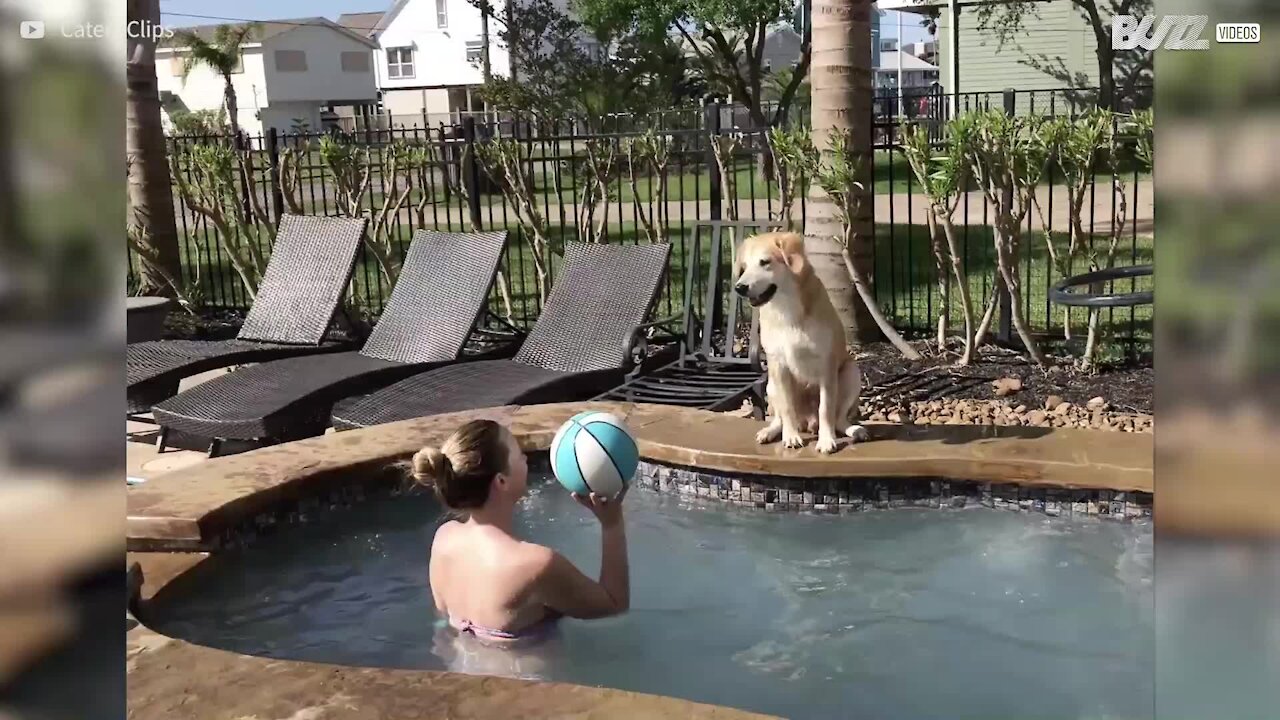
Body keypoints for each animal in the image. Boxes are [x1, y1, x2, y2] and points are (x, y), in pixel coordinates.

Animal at [732, 233, 870, 450]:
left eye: (765, 262)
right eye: (744, 266)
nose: (739, 288)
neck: (786, 309)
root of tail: (807, 423)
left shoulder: (826, 366)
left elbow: (826, 408)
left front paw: (826, 440)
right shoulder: (778, 364)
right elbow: (787, 408)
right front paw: (790, 437)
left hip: (851, 373)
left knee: (839, 418)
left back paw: (854, 430)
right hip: (771, 383)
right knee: (780, 418)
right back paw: (770, 431)